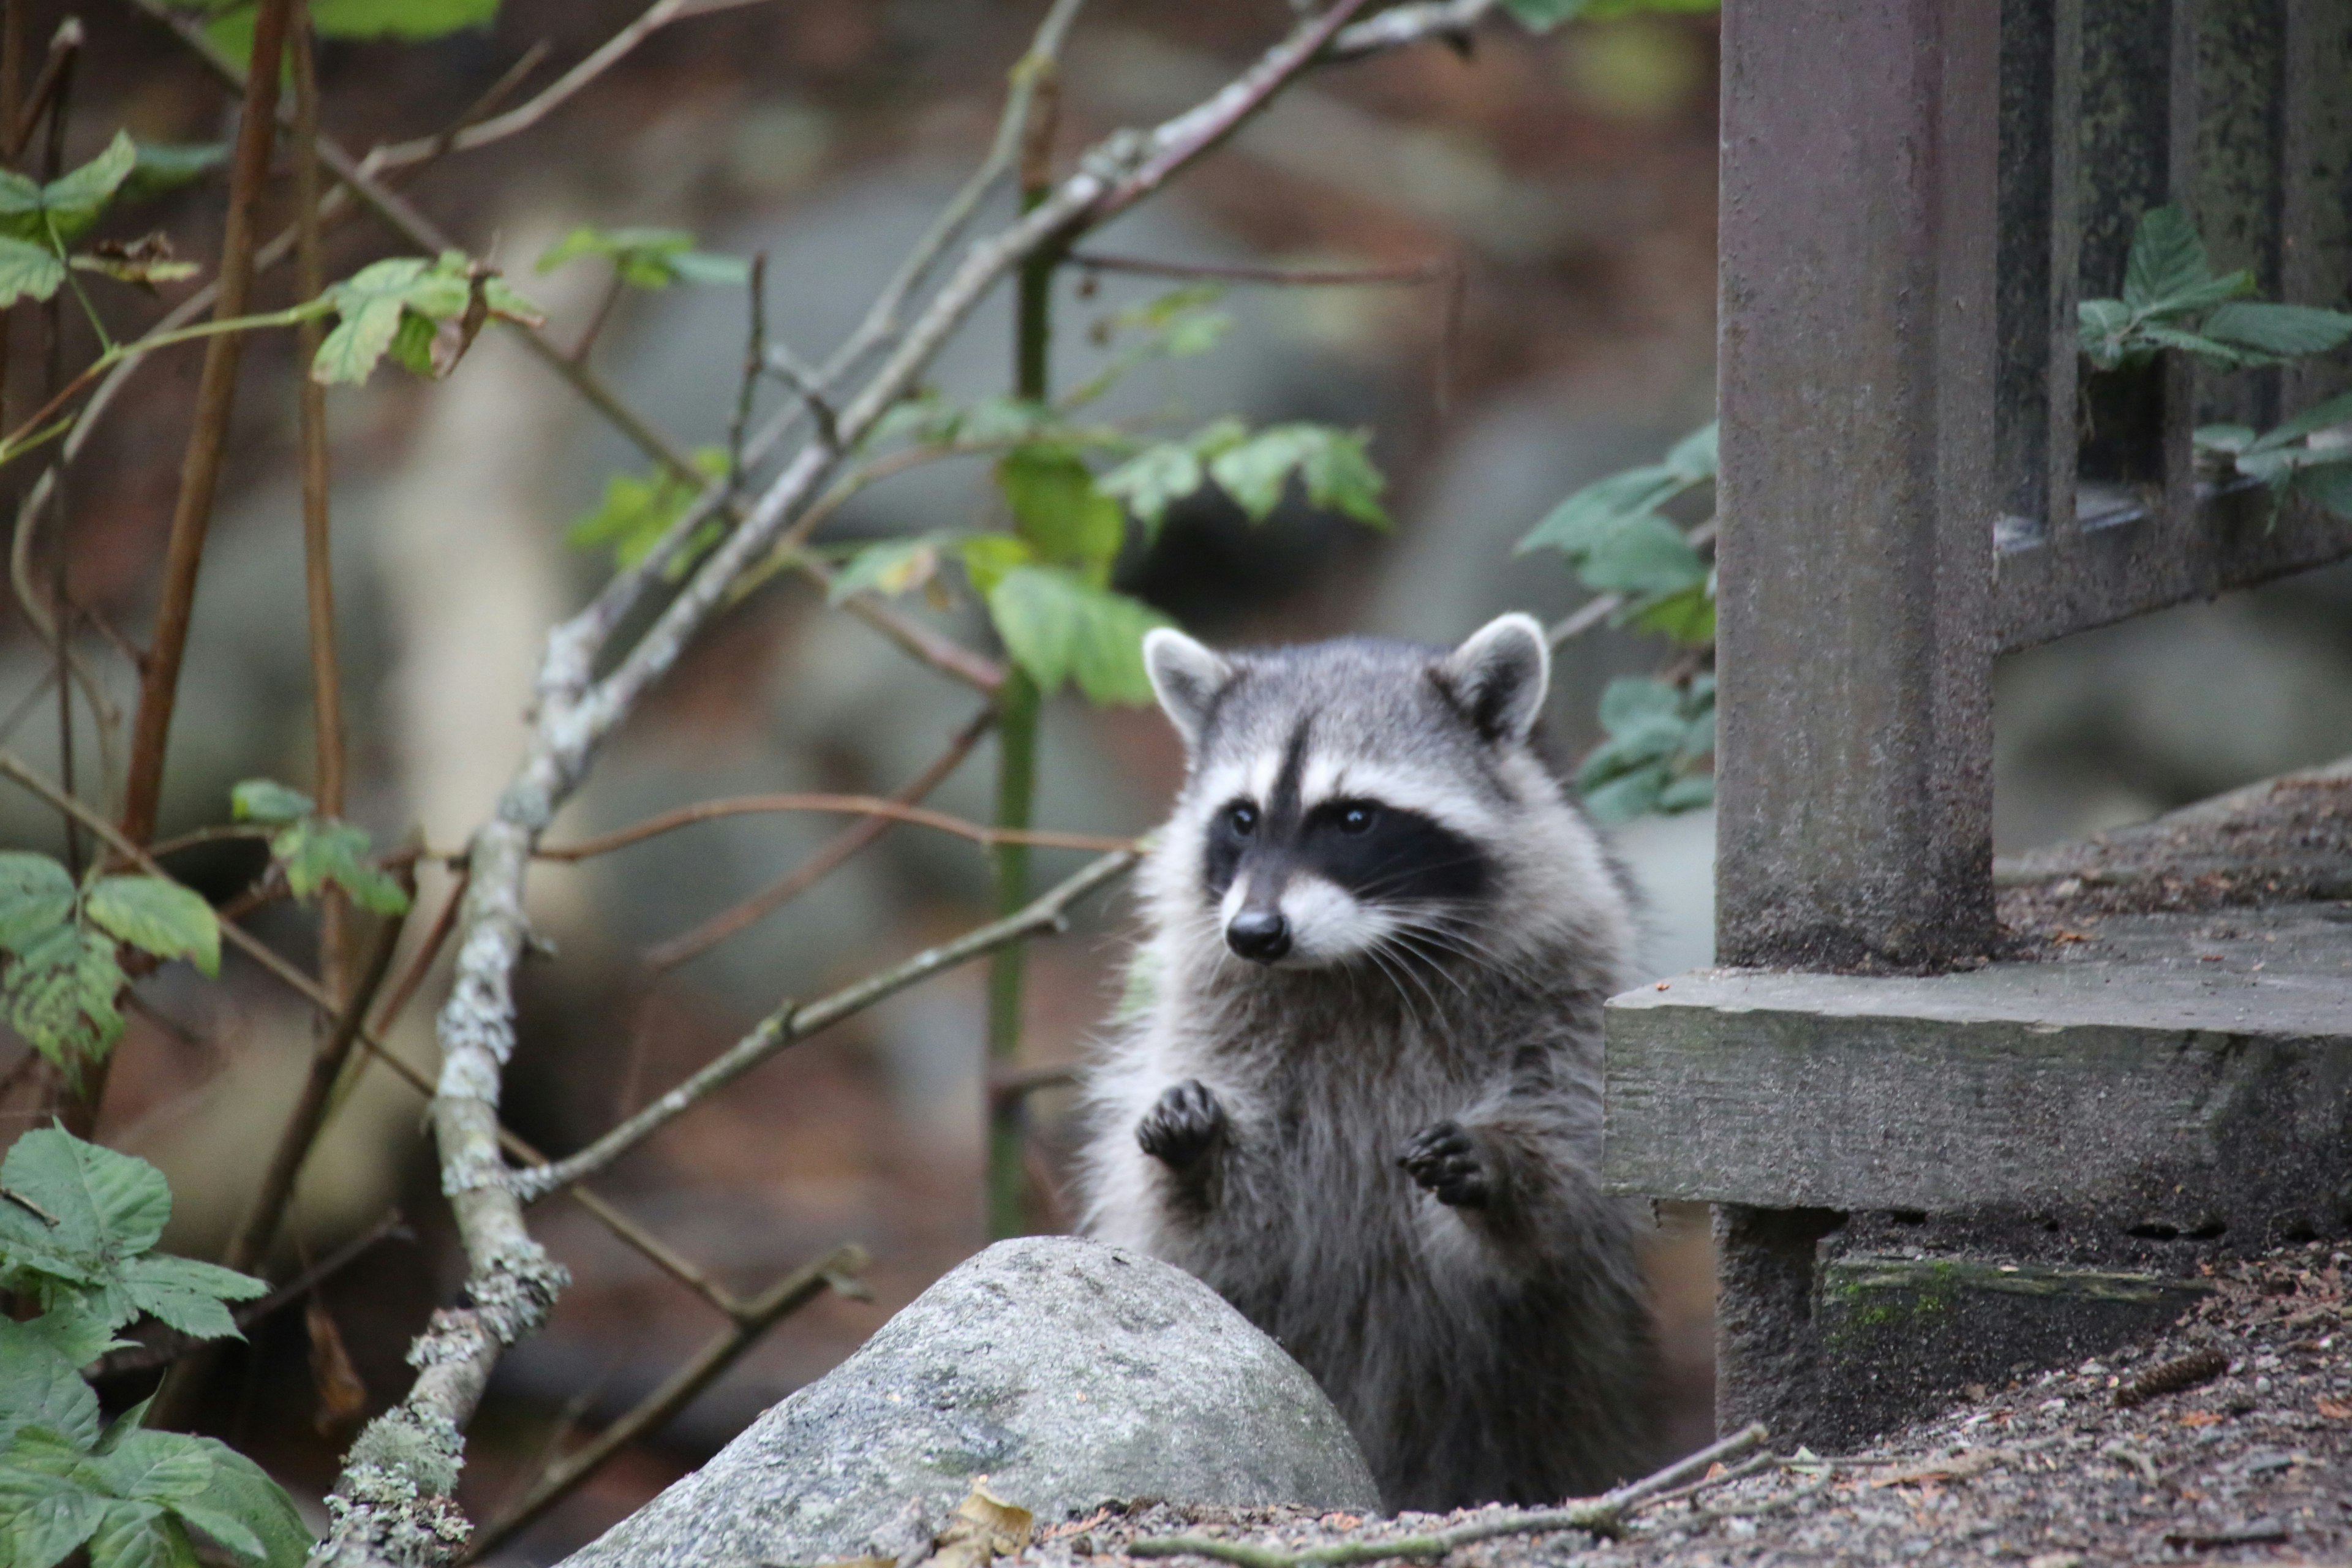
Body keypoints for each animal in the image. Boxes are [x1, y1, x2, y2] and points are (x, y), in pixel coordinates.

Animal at [1077, 611, 1656, 1504]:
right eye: (1241, 819)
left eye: (1353, 819)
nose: (1255, 934)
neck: (1355, 961)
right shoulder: (1213, 1008)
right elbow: (1220, 1232)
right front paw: (1199, 1150)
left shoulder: (1568, 978)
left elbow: (1565, 1178)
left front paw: (1506, 1162)